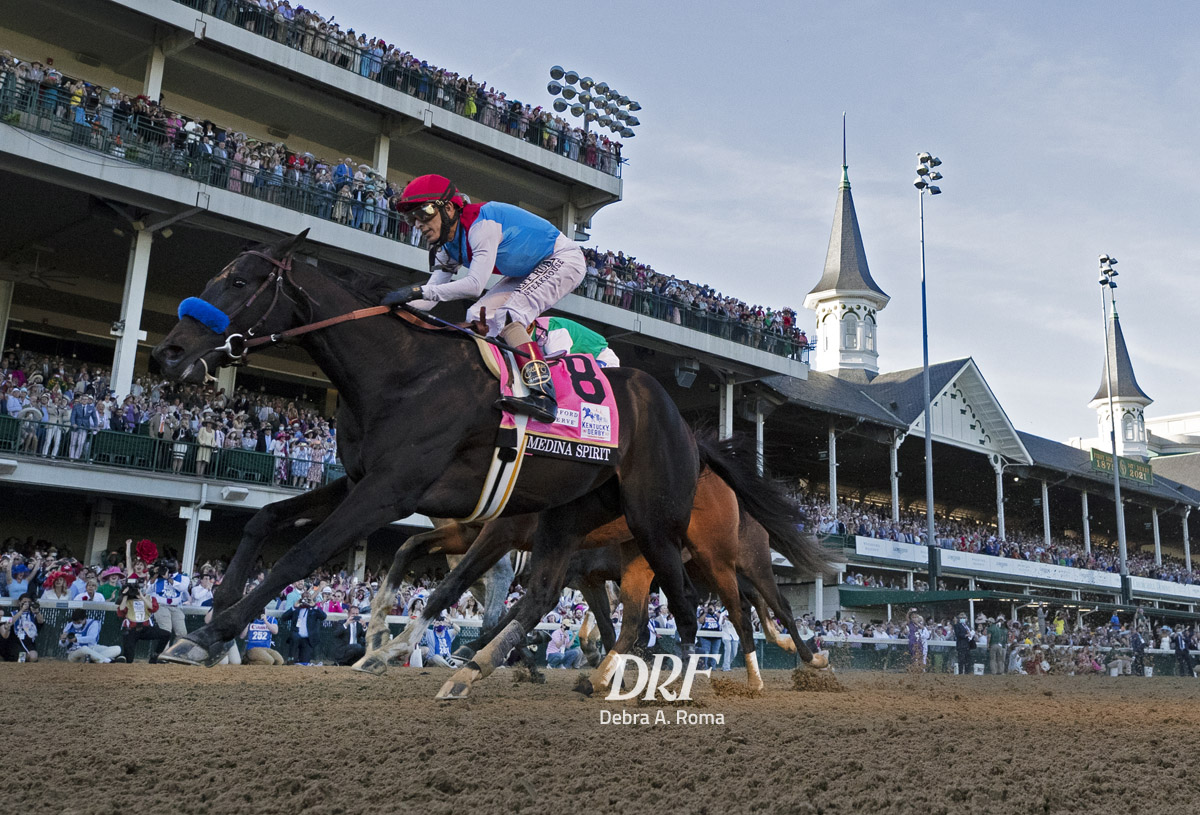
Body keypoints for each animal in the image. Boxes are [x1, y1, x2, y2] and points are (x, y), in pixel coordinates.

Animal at [151, 231, 704, 698]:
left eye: (239, 282)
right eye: (215, 278)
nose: (168, 353)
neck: (402, 372)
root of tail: (679, 416)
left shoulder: (390, 491)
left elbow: (302, 554)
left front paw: (216, 632)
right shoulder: (360, 480)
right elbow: (265, 518)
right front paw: (212, 619)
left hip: (652, 523)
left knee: (681, 600)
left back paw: (672, 677)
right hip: (571, 516)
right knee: (556, 594)